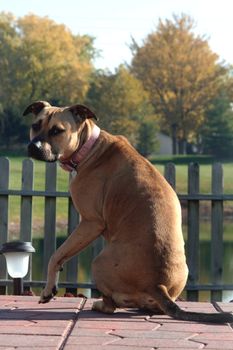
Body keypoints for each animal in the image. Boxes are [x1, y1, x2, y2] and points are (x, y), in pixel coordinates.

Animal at [24, 101, 233, 322]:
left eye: (57, 130)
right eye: (35, 125)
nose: (33, 147)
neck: (89, 147)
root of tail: (156, 285)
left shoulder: (90, 223)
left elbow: (57, 255)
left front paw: (48, 290)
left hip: (98, 263)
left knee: (111, 305)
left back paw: (100, 304)